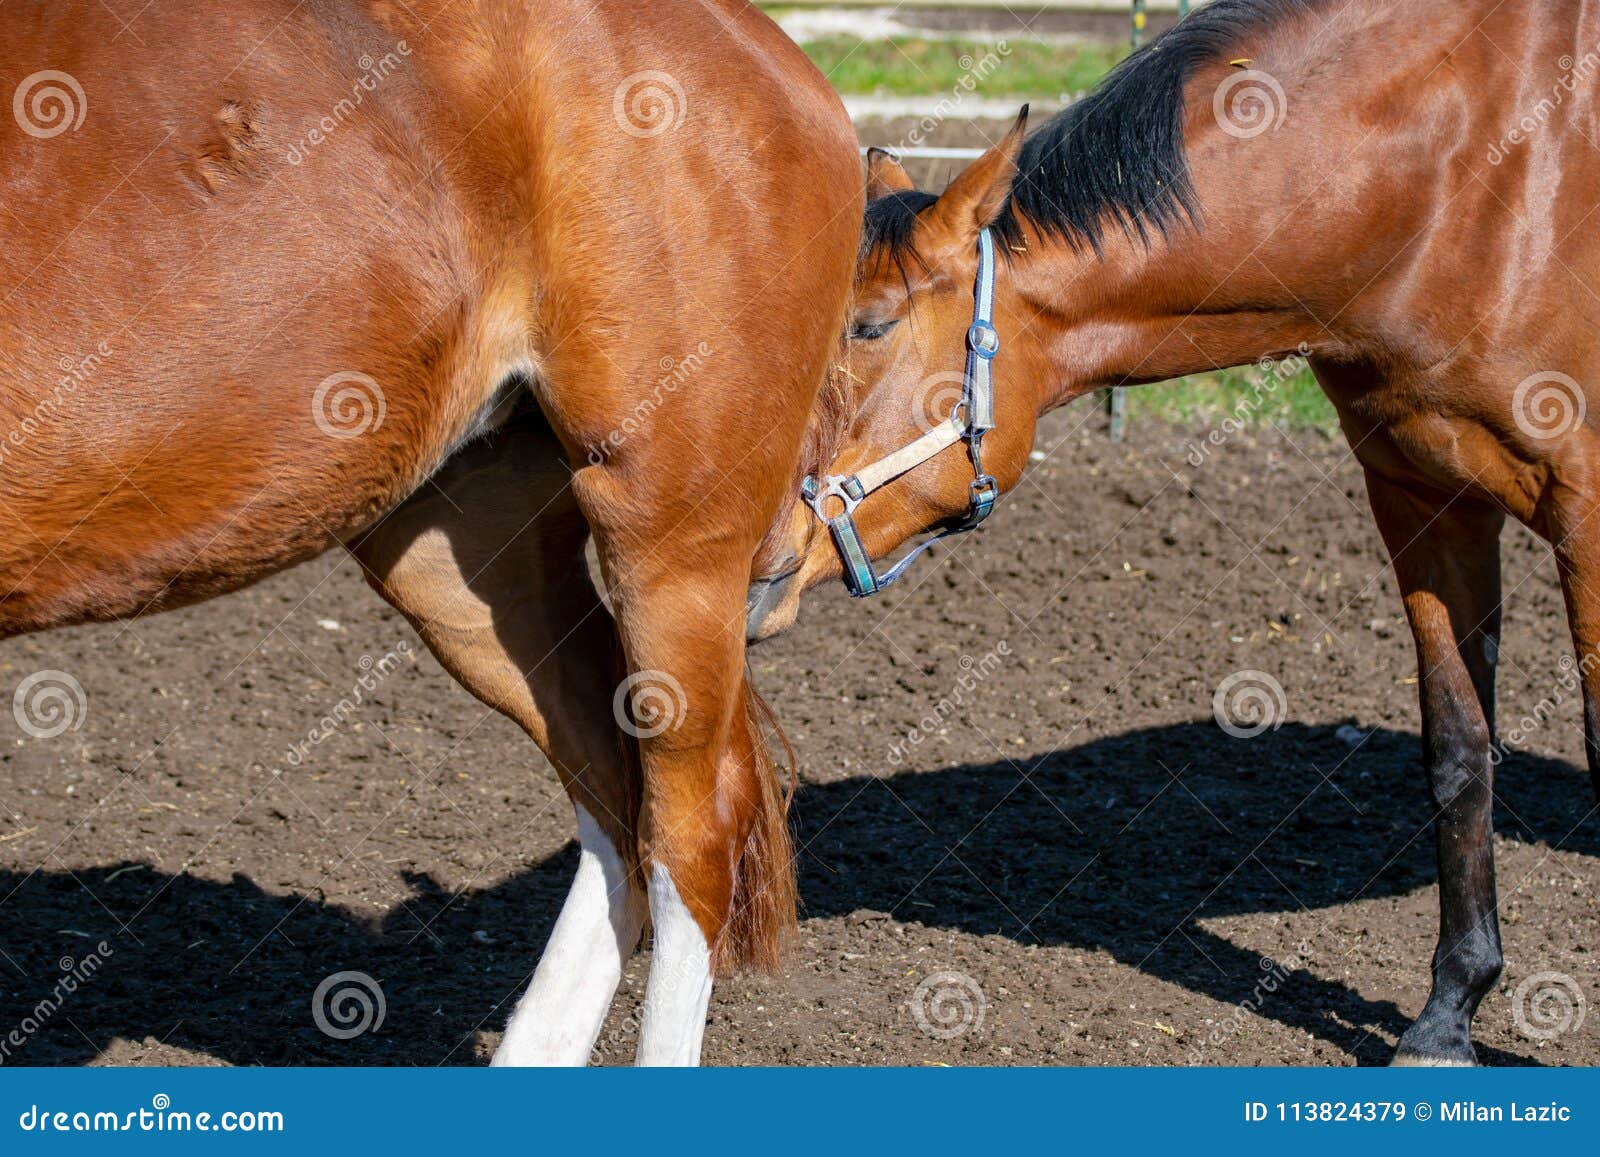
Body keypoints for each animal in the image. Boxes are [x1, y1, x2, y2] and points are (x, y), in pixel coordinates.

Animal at [748, 0, 1600, 1066]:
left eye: (867, 326)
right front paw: (1447, 1015)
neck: (1474, 183)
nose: (755, 567)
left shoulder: (1587, 517)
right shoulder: (1421, 498)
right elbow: (1457, 750)